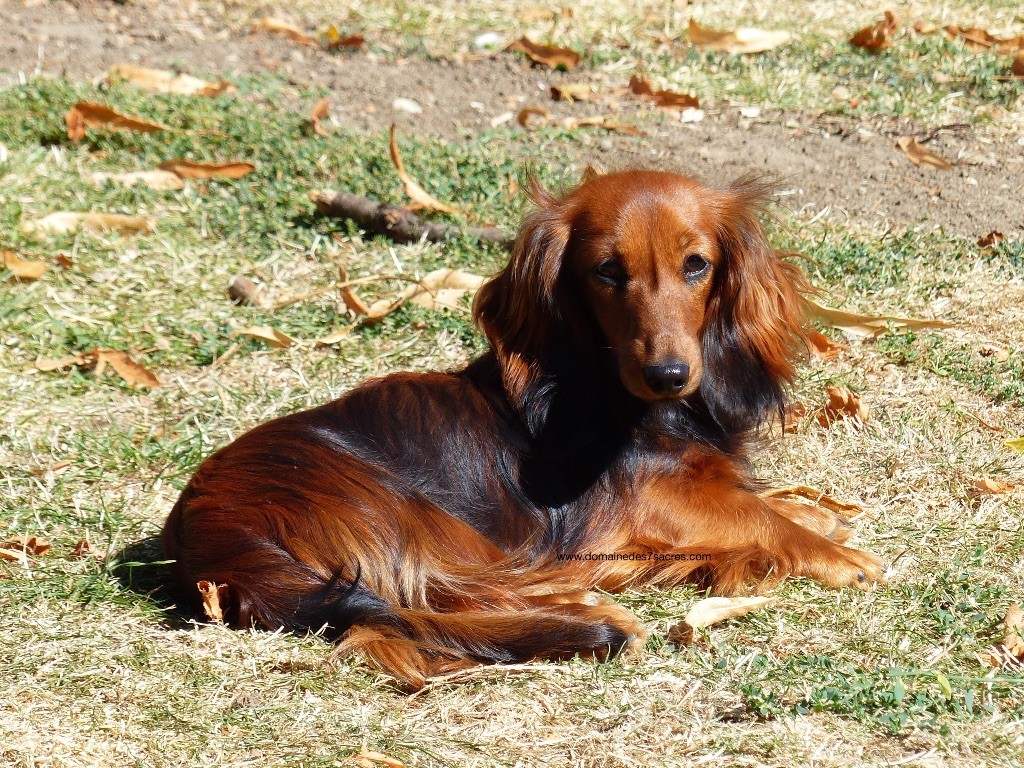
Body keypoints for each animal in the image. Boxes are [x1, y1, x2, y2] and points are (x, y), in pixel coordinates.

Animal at [162, 169, 883, 689]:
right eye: (607, 271)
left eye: (697, 265)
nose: (669, 373)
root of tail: (209, 537)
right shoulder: (634, 508)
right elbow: (757, 516)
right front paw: (834, 554)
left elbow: (763, 500)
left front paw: (815, 516)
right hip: (408, 515)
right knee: (436, 600)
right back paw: (589, 615)